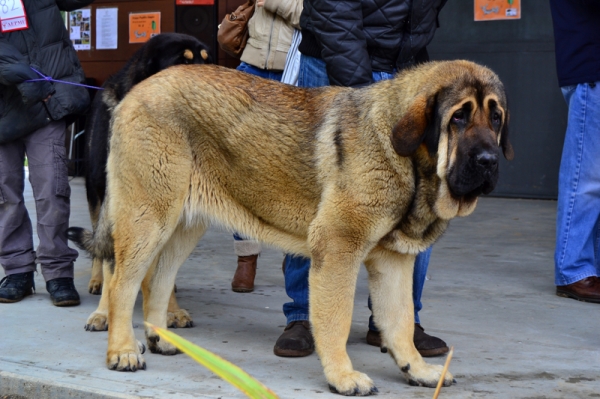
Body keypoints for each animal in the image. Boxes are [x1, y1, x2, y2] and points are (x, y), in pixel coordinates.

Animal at [69, 61, 510, 396]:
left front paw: (416, 369)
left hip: (182, 224)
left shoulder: (393, 262)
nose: (490, 161)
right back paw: (122, 348)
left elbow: (400, 321)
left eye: (496, 117)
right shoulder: (338, 249)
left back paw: (162, 338)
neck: (407, 157)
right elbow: (334, 320)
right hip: (148, 217)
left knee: (157, 281)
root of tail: (135, 91)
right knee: (122, 281)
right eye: (458, 117)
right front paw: (342, 376)